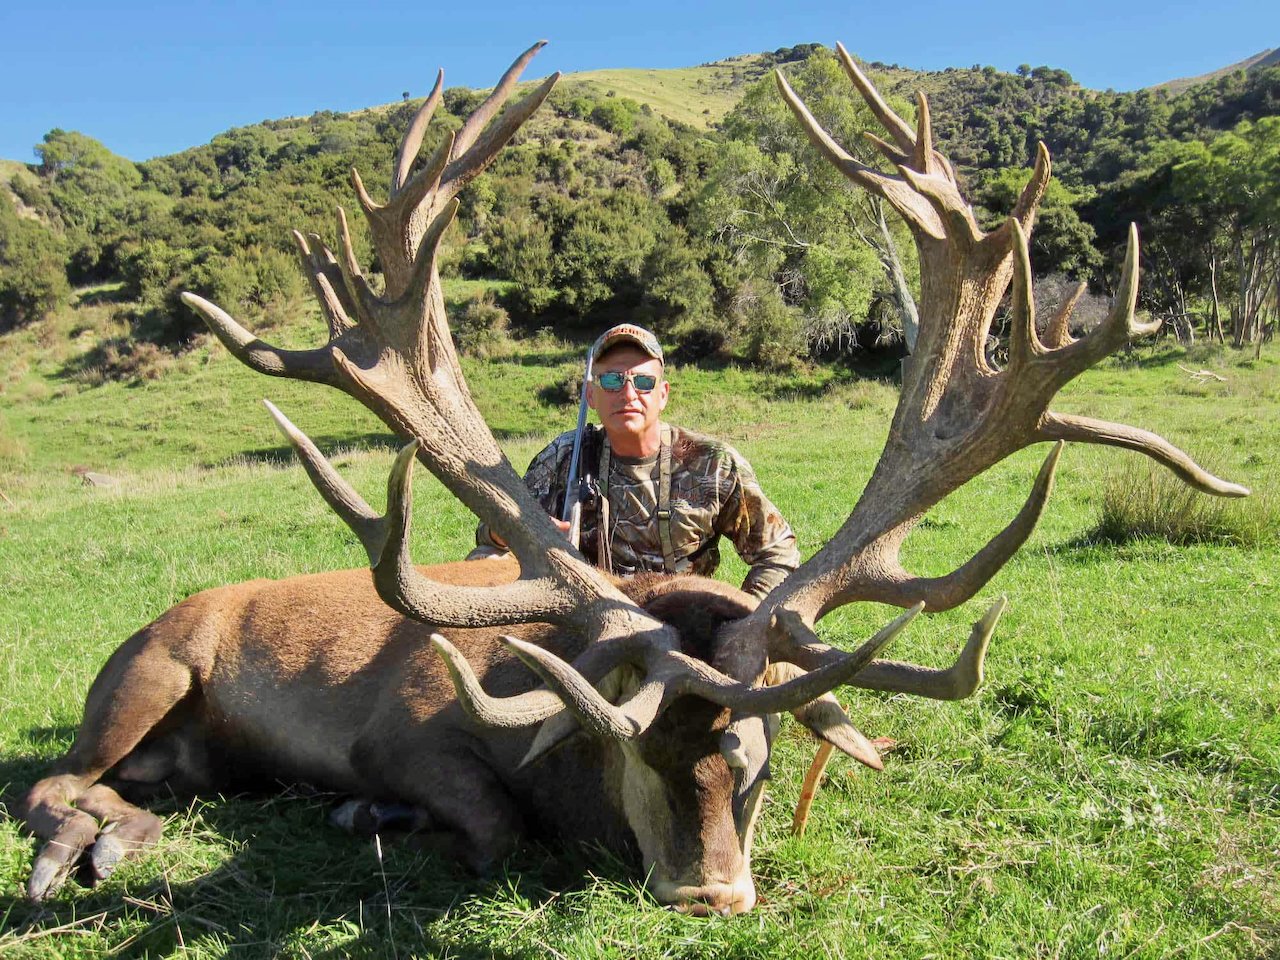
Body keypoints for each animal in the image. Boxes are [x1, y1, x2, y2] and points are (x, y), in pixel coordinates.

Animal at [19, 42, 1247, 916]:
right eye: (625, 748)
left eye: (754, 763)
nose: (708, 895)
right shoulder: (406, 733)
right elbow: (491, 827)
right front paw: (375, 816)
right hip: (145, 672)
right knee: (53, 780)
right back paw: (83, 849)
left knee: (131, 783)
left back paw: (124, 834)